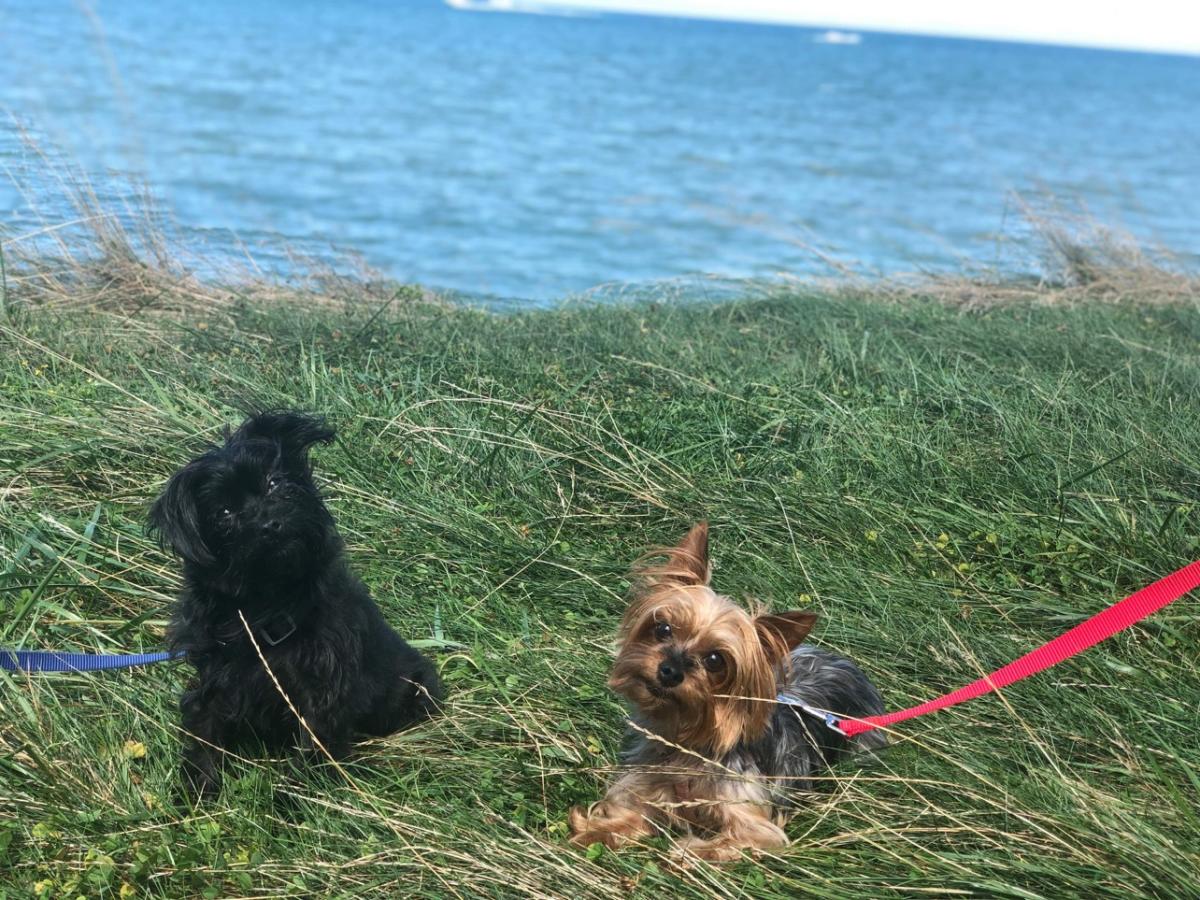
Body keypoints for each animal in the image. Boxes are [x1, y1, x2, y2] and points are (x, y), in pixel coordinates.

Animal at [150, 412, 441, 801]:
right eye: (224, 513)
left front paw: (295, 800)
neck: (268, 603)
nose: (269, 524)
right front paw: (196, 792)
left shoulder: (323, 692)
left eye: (274, 481)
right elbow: (203, 732)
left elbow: (312, 748)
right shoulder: (214, 679)